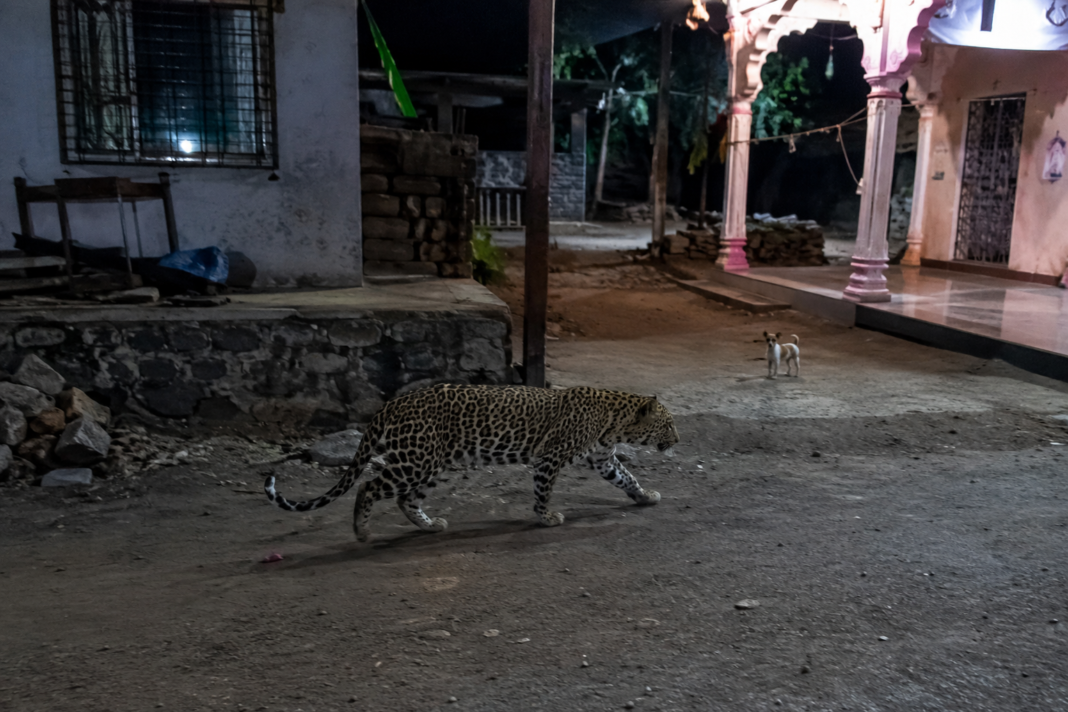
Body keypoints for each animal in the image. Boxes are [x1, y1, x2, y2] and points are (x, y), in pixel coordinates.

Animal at [264, 383, 679, 541]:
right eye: (669, 423)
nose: (678, 440)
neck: (615, 422)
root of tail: (392, 402)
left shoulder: (603, 460)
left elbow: (627, 477)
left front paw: (646, 497)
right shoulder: (549, 458)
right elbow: (543, 492)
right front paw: (546, 517)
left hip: (432, 463)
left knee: (405, 498)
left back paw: (430, 525)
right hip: (415, 462)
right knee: (369, 486)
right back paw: (363, 532)